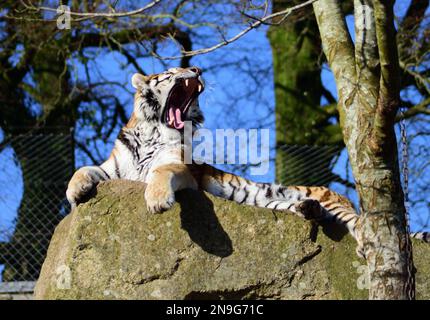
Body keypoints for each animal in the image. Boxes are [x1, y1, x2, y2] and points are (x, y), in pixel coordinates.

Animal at [65, 67, 428, 252]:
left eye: (189, 68)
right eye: (172, 70)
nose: (196, 68)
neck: (155, 130)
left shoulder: (183, 169)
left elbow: (160, 172)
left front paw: (156, 201)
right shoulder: (114, 167)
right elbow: (85, 169)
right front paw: (74, 193)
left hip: (339, 205)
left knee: (361, 225)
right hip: (275, 203)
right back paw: (307, 209)